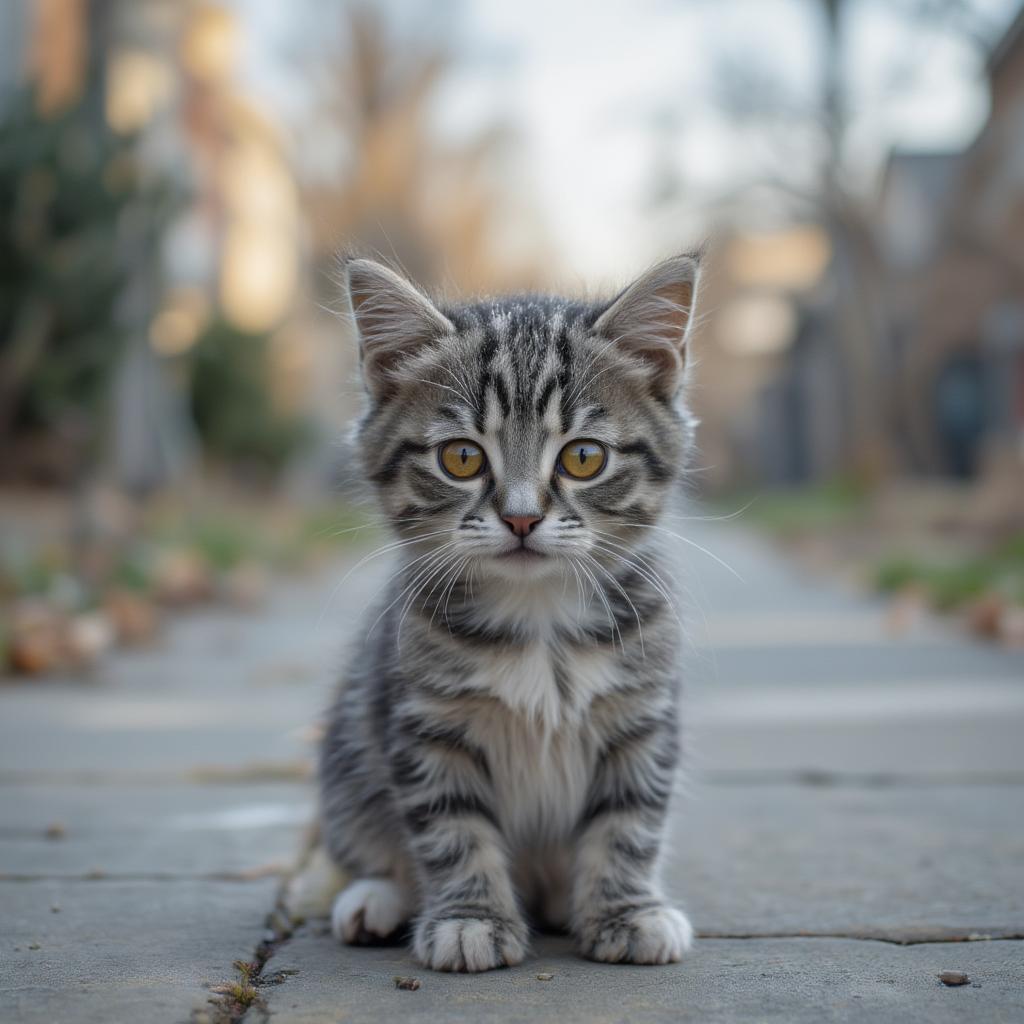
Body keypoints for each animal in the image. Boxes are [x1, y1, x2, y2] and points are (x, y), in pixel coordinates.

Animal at [319, 251, 704, 970]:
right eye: (461, 456)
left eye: (583, 457)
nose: (522, 518)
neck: (539, 617)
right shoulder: (423, 721)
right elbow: (452, 829)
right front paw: (471, 918)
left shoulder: (642, 715)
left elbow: (629, 820)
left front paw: (626, 911)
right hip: (347, 754)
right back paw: (377, 898)